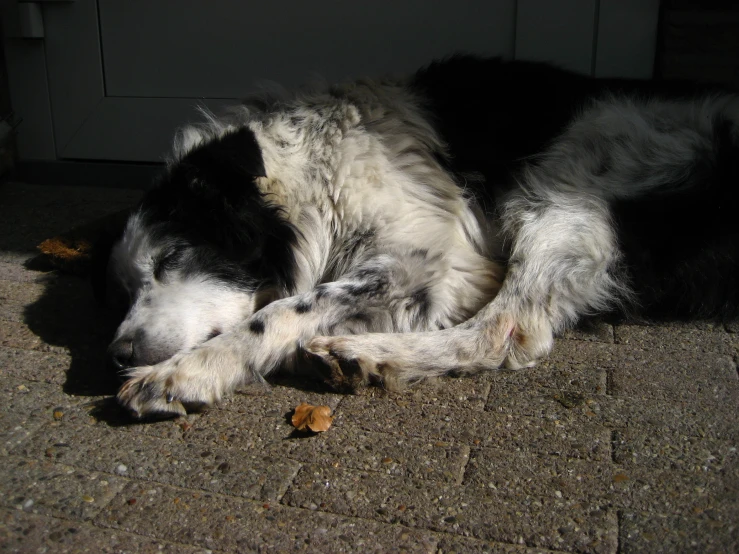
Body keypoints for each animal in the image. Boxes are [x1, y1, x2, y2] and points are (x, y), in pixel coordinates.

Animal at [105, 57, 739, 418]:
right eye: (126, 286)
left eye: (172, 256)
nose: (119, 354)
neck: (312, 172)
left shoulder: (432, 255)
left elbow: (287, 307)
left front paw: (188, 371)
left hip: (569, 173)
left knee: (506, 331)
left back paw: (365, 356)